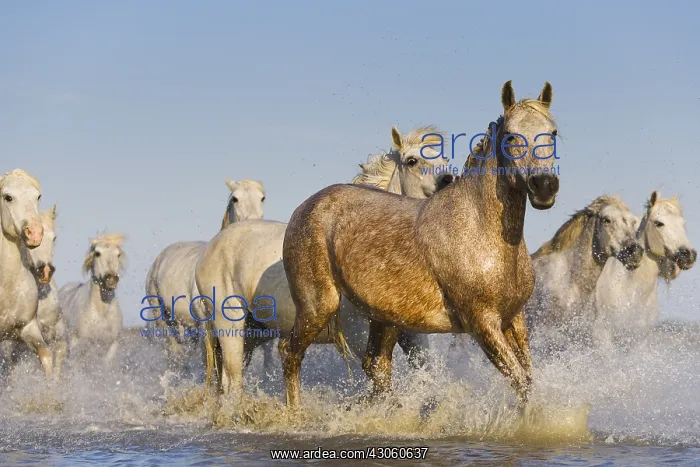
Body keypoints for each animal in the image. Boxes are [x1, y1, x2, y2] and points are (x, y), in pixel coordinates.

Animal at [59, 233, 126, 365]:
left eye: (118, 254)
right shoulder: (76, 344)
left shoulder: (112, 345)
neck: (101, 312)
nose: (111, 279)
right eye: (97, 253)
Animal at [193, 125, 457, 397]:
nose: (448, 181)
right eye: (412, 161)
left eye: (446, 159)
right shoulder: (356, 331)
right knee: (234, 382)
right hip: (230, 325)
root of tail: (211, 247)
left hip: (253, 332)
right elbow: (375, 372)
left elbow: (421, 373)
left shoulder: (411, 334)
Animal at [279, 80, 560, 410]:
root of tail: (304, 207)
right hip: (318, 306)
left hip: (384, 319)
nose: (544, 186)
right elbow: (520, 382)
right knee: (290, 352)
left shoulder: (514, 318)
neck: (480, 229)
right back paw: (295, 413)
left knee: (376, 367)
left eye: (552, 132)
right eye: (511, 136)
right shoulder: (482, 323)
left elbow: (528, 378)